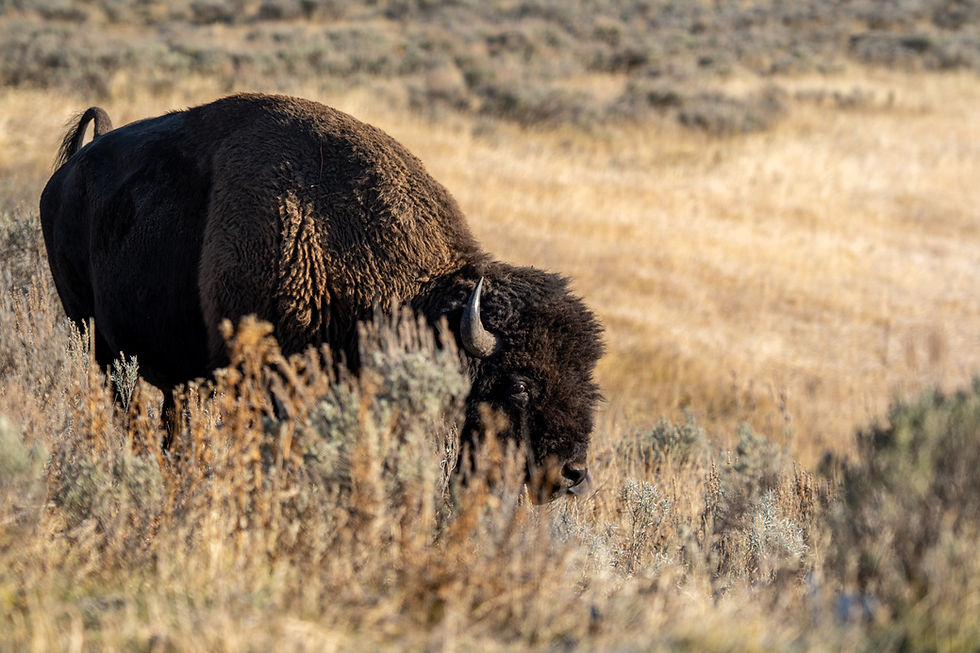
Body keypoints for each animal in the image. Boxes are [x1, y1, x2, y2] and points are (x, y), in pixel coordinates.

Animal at [40, 93, 603, 502]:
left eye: (587, 381)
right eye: (519, 386)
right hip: (96, 340)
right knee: (126, 404)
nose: (573, 474)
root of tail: (69, 171)